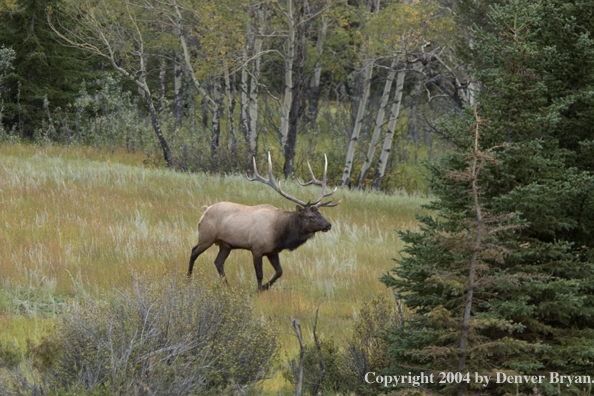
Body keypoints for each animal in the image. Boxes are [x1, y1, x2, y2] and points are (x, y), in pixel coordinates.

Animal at [187, 153, 340, 290]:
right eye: (311, 217)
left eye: (320, 213)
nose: (328, 225)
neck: (281, 234)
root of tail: (206, 209)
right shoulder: (257, 248)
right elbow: (259, 274)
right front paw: (258, 290)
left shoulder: (273, 251)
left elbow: (279, 272)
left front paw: (265, 287)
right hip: (207, 236)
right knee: (194, 251)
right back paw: (188, 277)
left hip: (226, 244)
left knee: (218, 262)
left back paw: (227, 286)